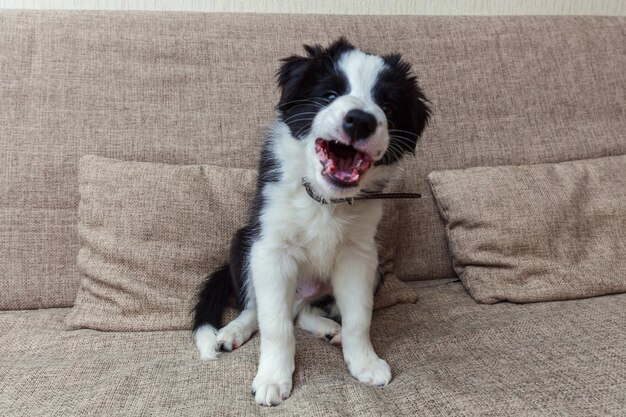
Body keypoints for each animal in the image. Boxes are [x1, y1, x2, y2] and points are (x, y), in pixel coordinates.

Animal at [191, 38, 428, 404]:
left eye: (387, 107)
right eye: (329, 95)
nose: (360, 121)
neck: (324, 201)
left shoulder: (359, 255)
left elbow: (360, 316)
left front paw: (364, 362)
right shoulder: (270, 249)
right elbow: (275, 325)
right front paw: (273, 377)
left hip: (374, 270)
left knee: (303, 312)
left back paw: (331, 329)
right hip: (243, 243)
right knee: (257, 308)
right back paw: (233, 331)